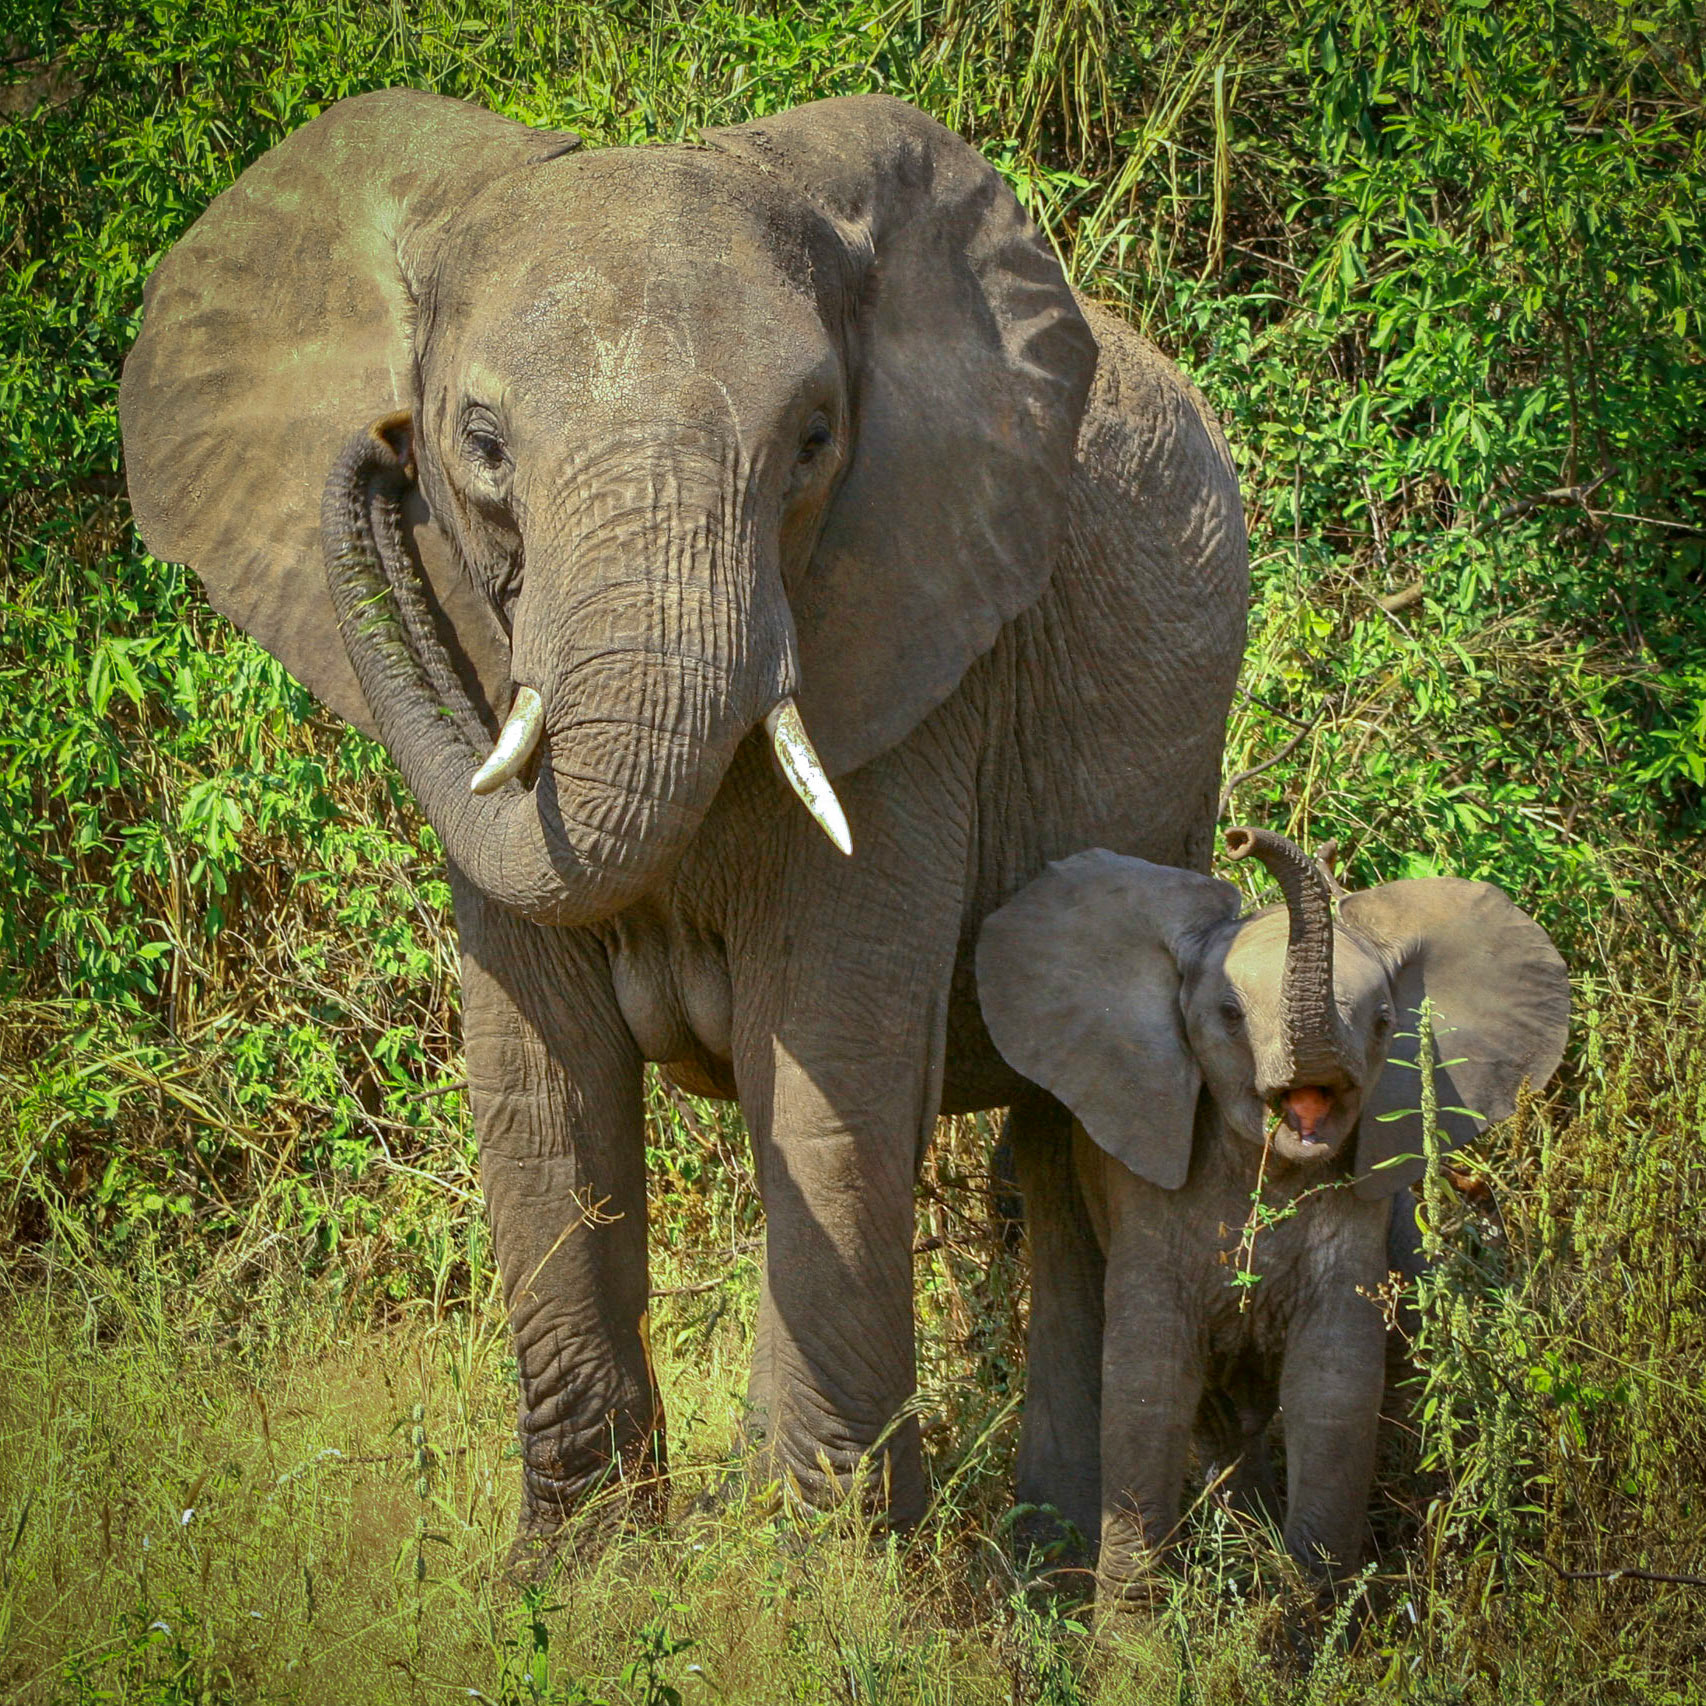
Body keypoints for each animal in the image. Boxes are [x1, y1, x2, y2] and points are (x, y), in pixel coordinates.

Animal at [117, 88, 1249, 1557]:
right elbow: (539, 1089)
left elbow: (828, 1078)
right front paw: (585, 1572)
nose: (374, 447)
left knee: (1074, 1158)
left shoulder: (920, 653)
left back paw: (1045, 1567)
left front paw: (812, 1571)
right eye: (479, 444)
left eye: (817, 436)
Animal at [975, 828, 1569, 1602]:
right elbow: (1147, 1379)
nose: (1241, 837)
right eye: (1229, 1016)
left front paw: (1308, 1618)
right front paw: (1130, 1630)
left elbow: (1335, 1380)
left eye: (1385, 1023)